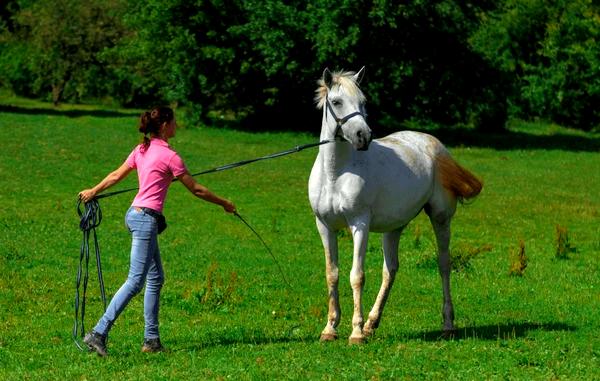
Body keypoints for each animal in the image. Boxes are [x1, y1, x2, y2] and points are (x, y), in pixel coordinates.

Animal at [310, 68, 482, 344]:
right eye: (336, 102)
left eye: (363, 102)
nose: (363, 136)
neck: (335, 173)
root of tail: (434, 145)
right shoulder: (324, 226)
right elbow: (332, 274)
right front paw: (330, 328)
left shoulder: (360, 224)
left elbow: (356, 276)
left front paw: (355, 332)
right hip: (394, 227)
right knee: (390, 269)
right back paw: (372, 323)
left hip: (441, 218)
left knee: (444, 265)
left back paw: (447, 324)